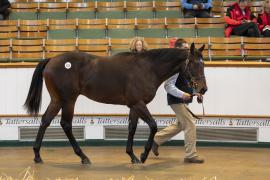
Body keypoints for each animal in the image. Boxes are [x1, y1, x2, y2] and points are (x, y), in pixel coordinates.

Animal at [24, 43, 207, 165]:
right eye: (193, 63)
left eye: (203, 63)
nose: (203, 89)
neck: (147, 68)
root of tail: (51, 60)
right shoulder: (138, 103)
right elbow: (153, 125)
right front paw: (143, 155)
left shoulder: (134, 105)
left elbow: (132, 127)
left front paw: (132, 156)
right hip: (68, 100)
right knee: (66, 124)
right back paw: (83, 156)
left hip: (57, 100)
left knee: (45, 121)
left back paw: (37, 155)